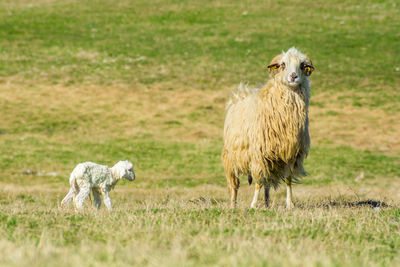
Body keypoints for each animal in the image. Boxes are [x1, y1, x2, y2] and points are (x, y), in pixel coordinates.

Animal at [223, 47, 314, 209]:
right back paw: (233, 204)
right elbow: (258, 181)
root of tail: (241, 93)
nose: (293, 76)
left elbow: (288, 179)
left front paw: (290, 204)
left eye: (302, 65)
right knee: (235, 184)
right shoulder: (258, 155)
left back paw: (266, 203)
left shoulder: (290, 153)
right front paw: (253, 205)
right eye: (283, 64)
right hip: (231, 157)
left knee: (267, 183)